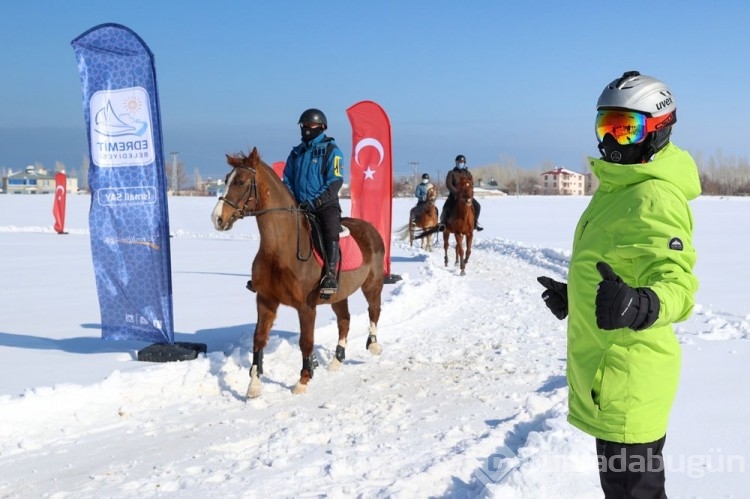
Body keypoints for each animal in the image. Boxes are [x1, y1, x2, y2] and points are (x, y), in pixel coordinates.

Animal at [212, 147, 388, 398]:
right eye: (226, 179)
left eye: (241, 181)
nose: (217, 219)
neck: (280, 250)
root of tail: (370, 228)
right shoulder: (265, 300)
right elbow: (259, 339)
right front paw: (254, 385)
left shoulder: (306, 307)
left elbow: (306, 341)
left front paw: (303, 380)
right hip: (339, 295)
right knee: (344, 320)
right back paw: (337, 360)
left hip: (372, 285)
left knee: (374, 311)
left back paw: (373, 344)